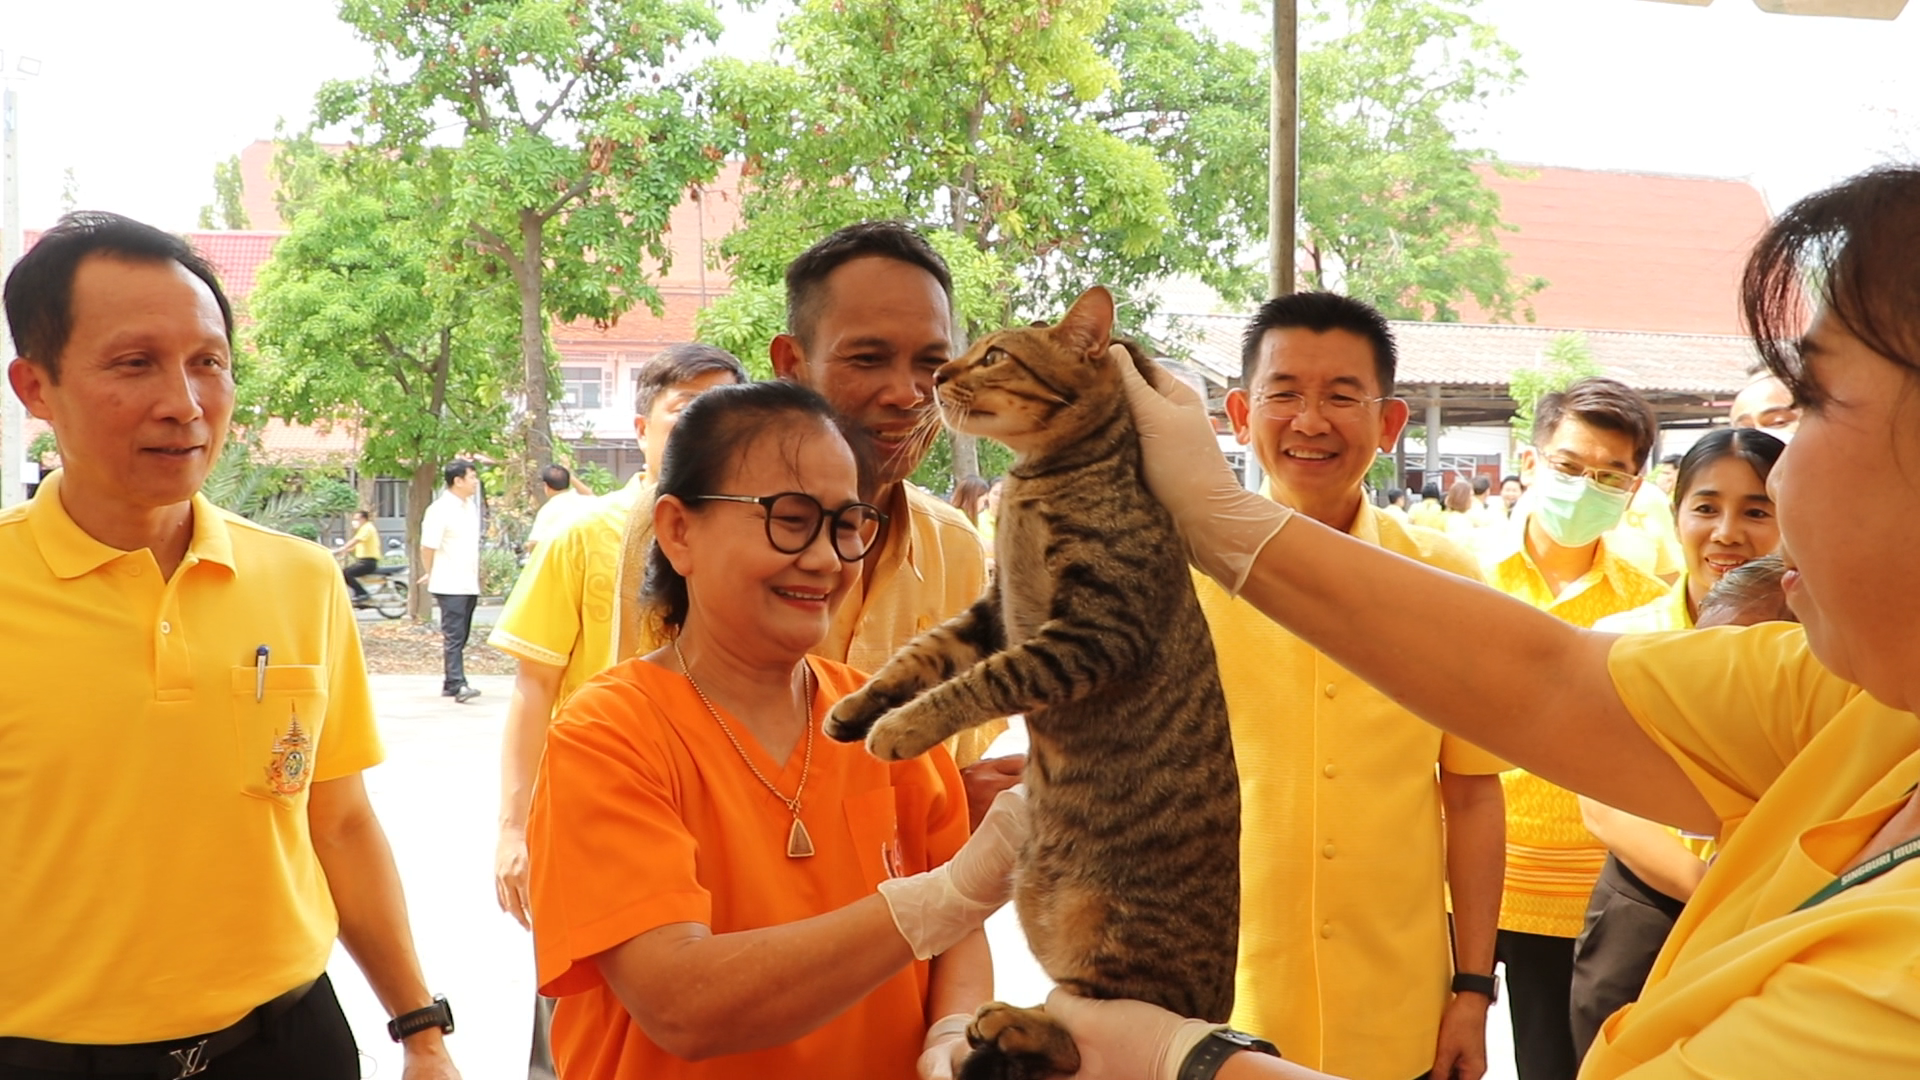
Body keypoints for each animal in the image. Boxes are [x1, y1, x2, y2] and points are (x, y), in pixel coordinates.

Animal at [825, 284, 1244, 1076]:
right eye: (962, 351)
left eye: (994, 356)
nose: (937, 375)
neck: (1035, 478)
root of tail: (1214, 1007)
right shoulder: (992, 613)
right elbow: (923, 656)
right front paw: (862, 704)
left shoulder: (1090, 633)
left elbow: (978, 683)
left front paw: (902, 727)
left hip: (1117, 937)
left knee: (1089, 1031)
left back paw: (1015, 1023)